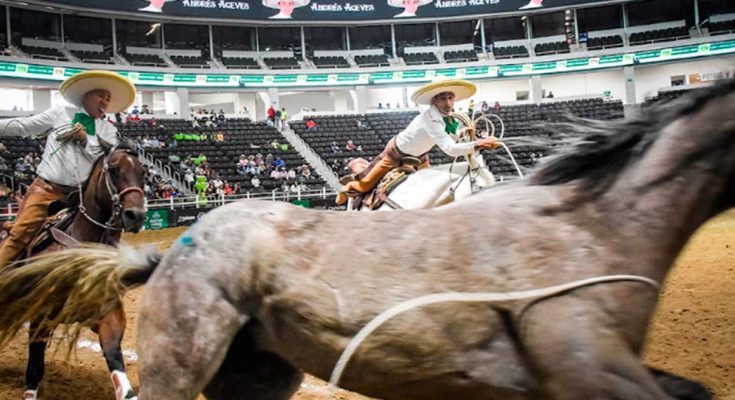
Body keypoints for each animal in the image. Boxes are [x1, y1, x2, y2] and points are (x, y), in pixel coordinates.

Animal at [0, 142, 147, 398]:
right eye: (114, 170)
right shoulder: (41, 317)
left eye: (143, 173)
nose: (135, 215)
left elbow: (117, 364)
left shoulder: (108, 317)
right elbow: (35, 367)